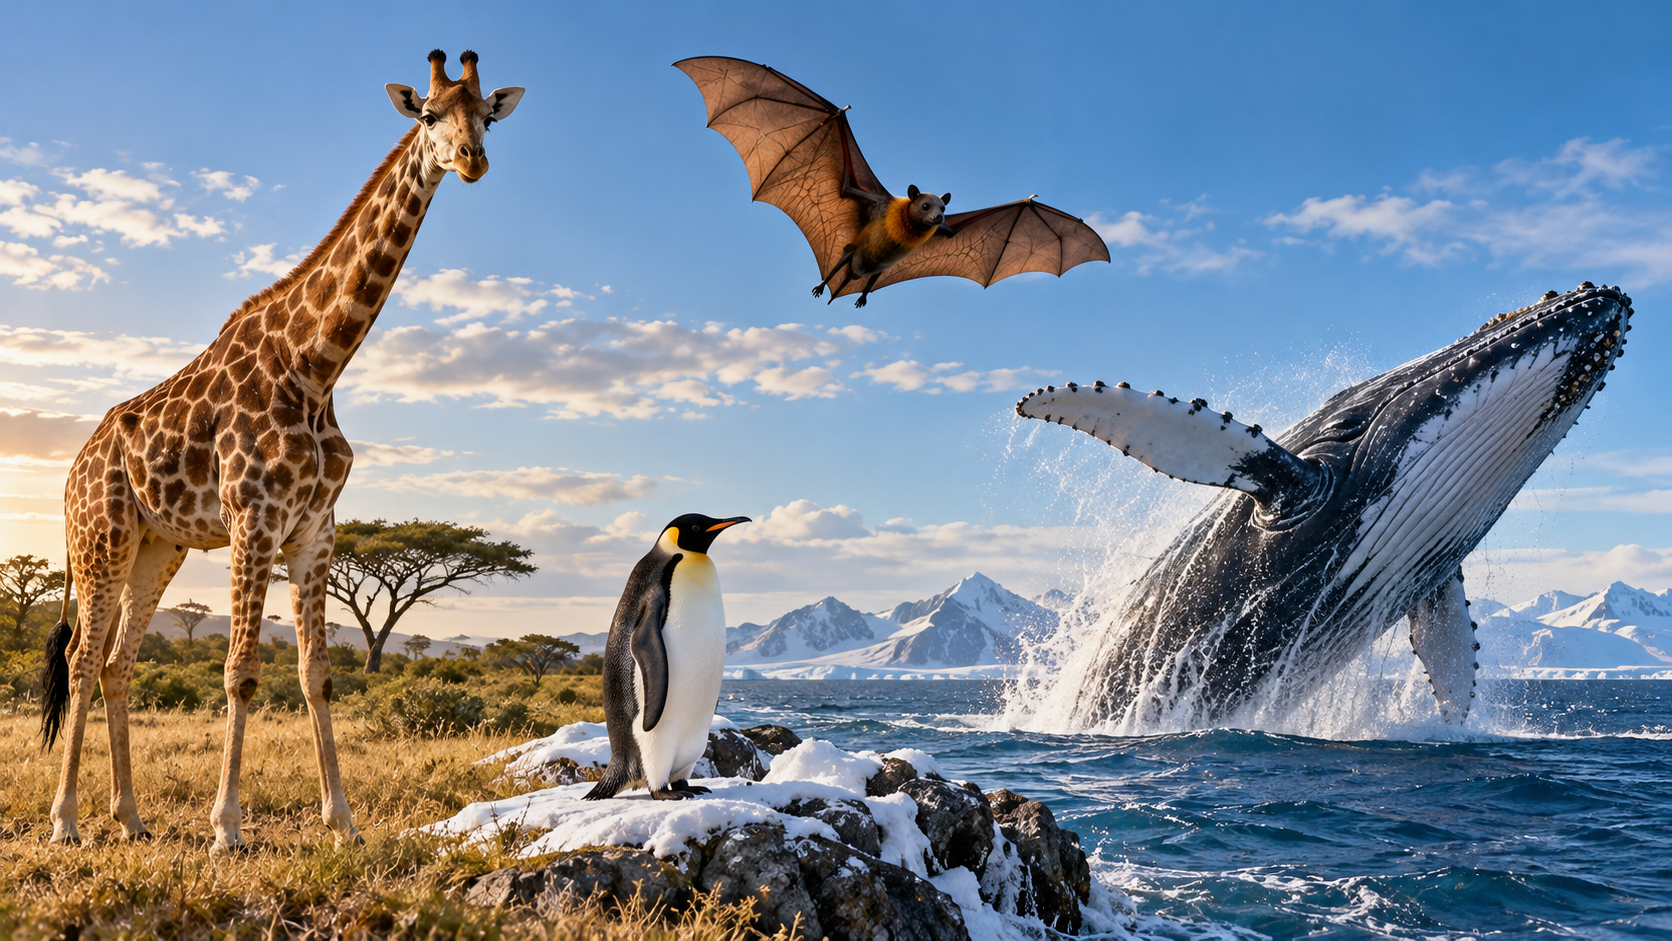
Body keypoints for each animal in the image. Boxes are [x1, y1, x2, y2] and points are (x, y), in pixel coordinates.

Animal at [38, 50, 524, 852]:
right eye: (428, 114)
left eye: (487, 115)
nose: (473, 160)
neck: (315, 365)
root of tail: (73, 468)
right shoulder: (253, 520)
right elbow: (240, 671)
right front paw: (227, 828)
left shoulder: (314, 530)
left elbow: (316, 673)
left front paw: (344, 821)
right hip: (101, 536)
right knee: (81, 659)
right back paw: (66, 820)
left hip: (157, 546)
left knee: (117, 663)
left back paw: (131, 817)